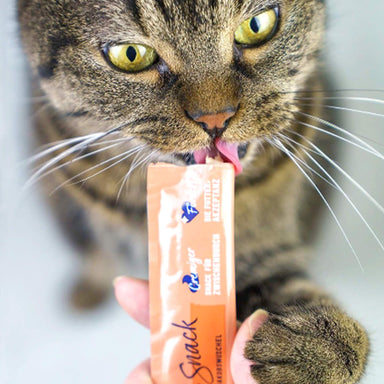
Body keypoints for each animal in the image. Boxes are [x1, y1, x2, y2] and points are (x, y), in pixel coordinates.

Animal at [17, 0, 368, 382]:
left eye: (257, 25)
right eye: (130, 54)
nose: (215, 118)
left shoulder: (263, 250)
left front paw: (322, 349)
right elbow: (93, 249)